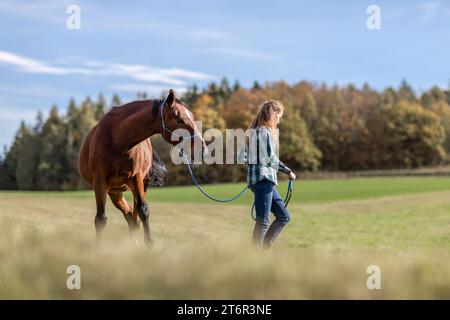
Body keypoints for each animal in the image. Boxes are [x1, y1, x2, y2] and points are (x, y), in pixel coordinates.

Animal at [78, 89, 205, 244]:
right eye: (179, 119)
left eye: (192, 117)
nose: (202, 149)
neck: (117, 139)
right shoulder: (99, 181)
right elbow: (100, 219)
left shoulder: (136, 177)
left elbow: (143, 211)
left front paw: (149, 243)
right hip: (114, 191)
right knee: (129, 215)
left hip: (137, 185)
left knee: (134, 216)